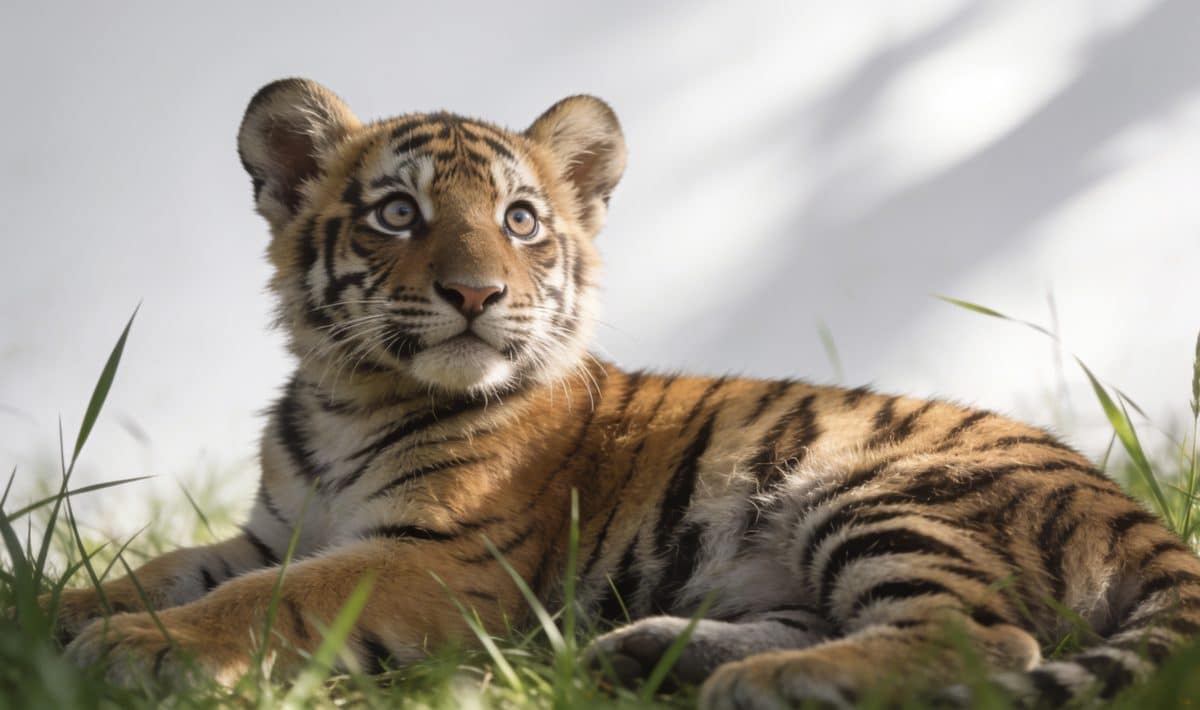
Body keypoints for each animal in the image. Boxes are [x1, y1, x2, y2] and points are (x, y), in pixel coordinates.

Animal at [42, 77, 1200, 708]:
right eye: (397, 213)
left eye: (518, 220)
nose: (476, 293)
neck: (348, 395)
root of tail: (1134, 508)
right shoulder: (273, 527)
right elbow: (168, 567)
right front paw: (52, 606)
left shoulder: (441, 559)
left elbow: (273, 599)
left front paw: (142, 647)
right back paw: (660, 655)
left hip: (877, 490)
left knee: (984, 638)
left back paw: (759, 682)